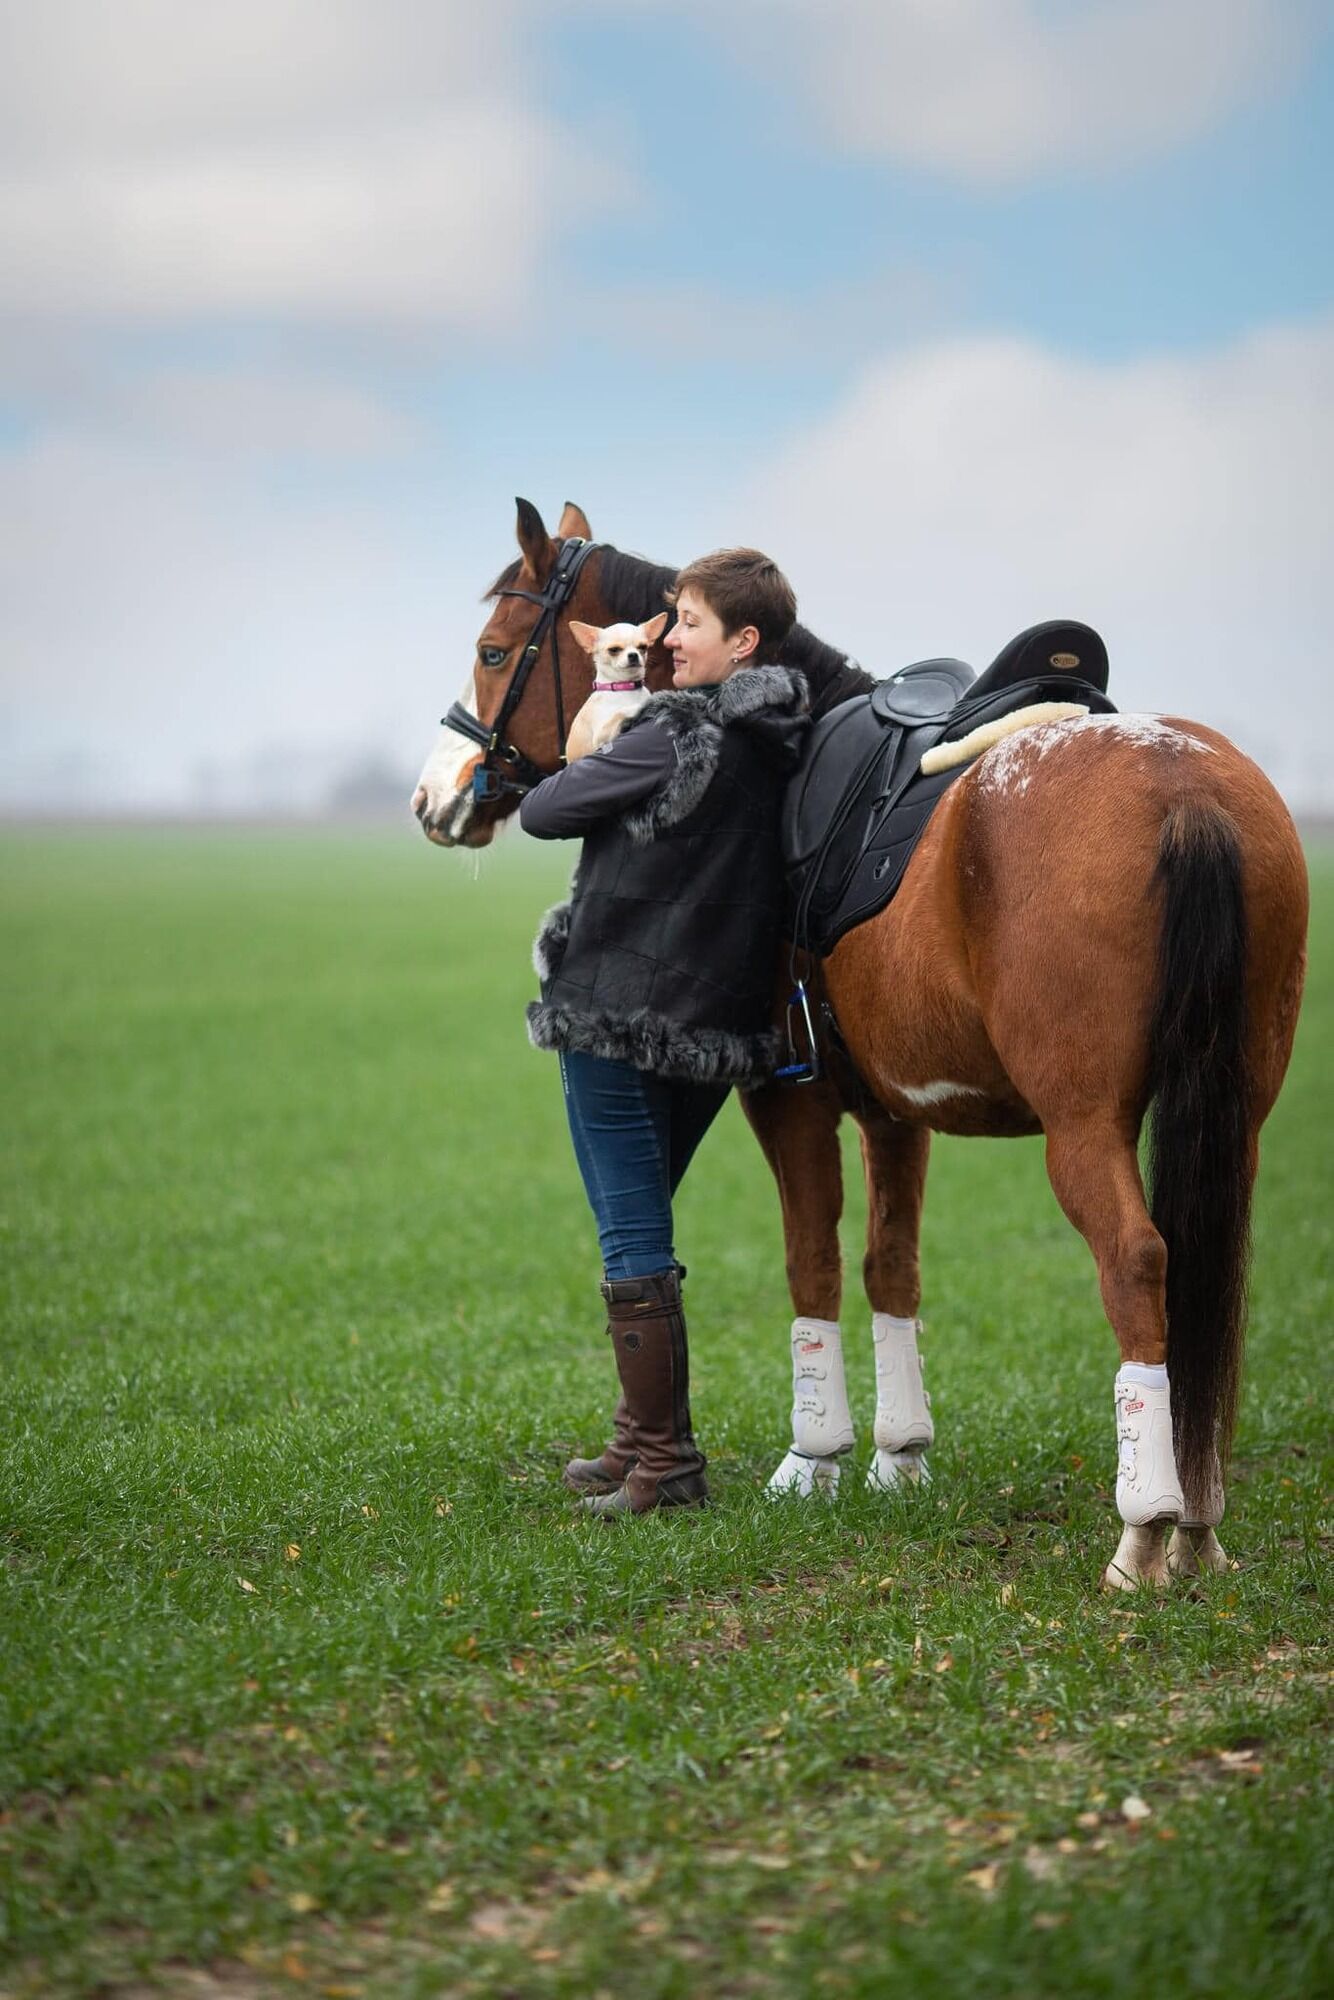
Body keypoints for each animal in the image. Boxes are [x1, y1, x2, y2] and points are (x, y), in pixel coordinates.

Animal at [564, 608, 668, 756]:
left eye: (643, 647)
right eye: (613, 650)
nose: (633, 655)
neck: (625, 687)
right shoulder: (600, 738)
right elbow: (621, 712)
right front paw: (643, 704)